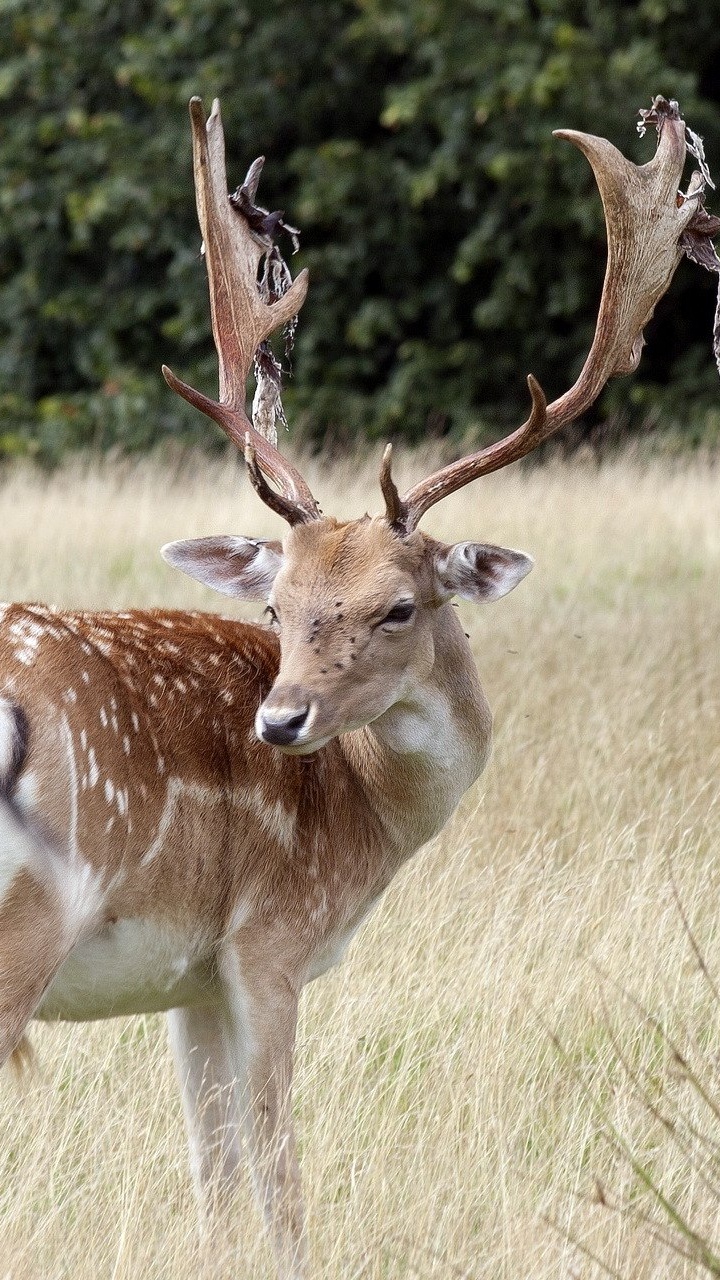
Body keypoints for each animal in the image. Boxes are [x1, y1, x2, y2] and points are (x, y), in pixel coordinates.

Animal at [0, 95, 711, 1279]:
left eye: (398, 607)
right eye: (277, 607)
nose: (281, 720)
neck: (369, 819)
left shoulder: (190, 977)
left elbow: (212, 1179)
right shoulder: (270, 942)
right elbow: (280, 1179)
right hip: (30, 920)